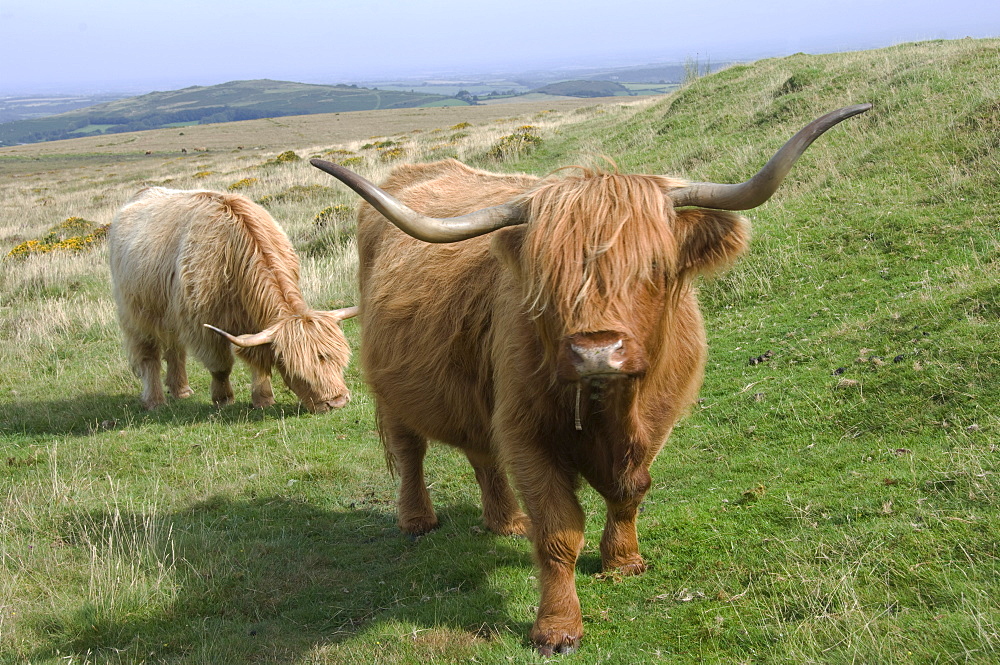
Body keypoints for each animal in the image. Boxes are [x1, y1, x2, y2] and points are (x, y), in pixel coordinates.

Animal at [109, 187, 358, 412]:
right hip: (136, 314)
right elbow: (220, 366)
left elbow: (258, 359)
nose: (337, 402)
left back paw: (181, 390)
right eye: (295, 370)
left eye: (340, 360)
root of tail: (143, 192)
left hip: (169, 313)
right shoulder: (203, 327)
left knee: (174, 348)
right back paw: (155, 402)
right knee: (149, 355)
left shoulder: (254, 322)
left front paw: (263, 399)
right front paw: (223, 399)